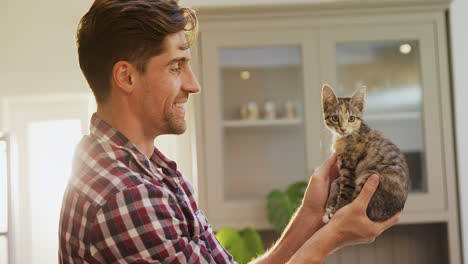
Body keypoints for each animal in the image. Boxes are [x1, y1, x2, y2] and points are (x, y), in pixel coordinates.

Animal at [322, 84, 410, 223]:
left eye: (351, 118)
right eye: (335, 118)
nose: (343, 129)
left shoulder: (349, 168)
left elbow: (345, 193)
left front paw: (336, 212)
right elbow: (336, 182)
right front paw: (330, 205)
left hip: (370, 174)